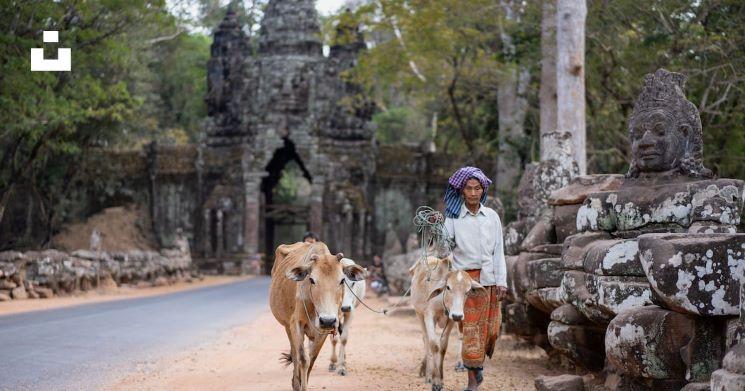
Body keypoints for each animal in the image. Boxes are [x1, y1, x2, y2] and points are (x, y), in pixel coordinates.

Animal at [270, 242, 370, 391]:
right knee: (294, 354)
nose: (327, 320)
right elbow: (302, 359)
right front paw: (299, 384)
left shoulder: (326, 329)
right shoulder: (296, 324)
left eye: (342, 280)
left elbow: (312, 358)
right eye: (311, 279)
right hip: (288, 326)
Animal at [410, 256, 486, 391]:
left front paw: (441, 379)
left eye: (468, 291)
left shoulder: (451, 320)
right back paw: (428, 374)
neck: (442, 301)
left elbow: (443, 346)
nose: (458, 315)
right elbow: (434, 345)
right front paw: (435, 381)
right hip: (419, 314)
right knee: (426, 340)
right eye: (448, 287)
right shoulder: (429, 315)